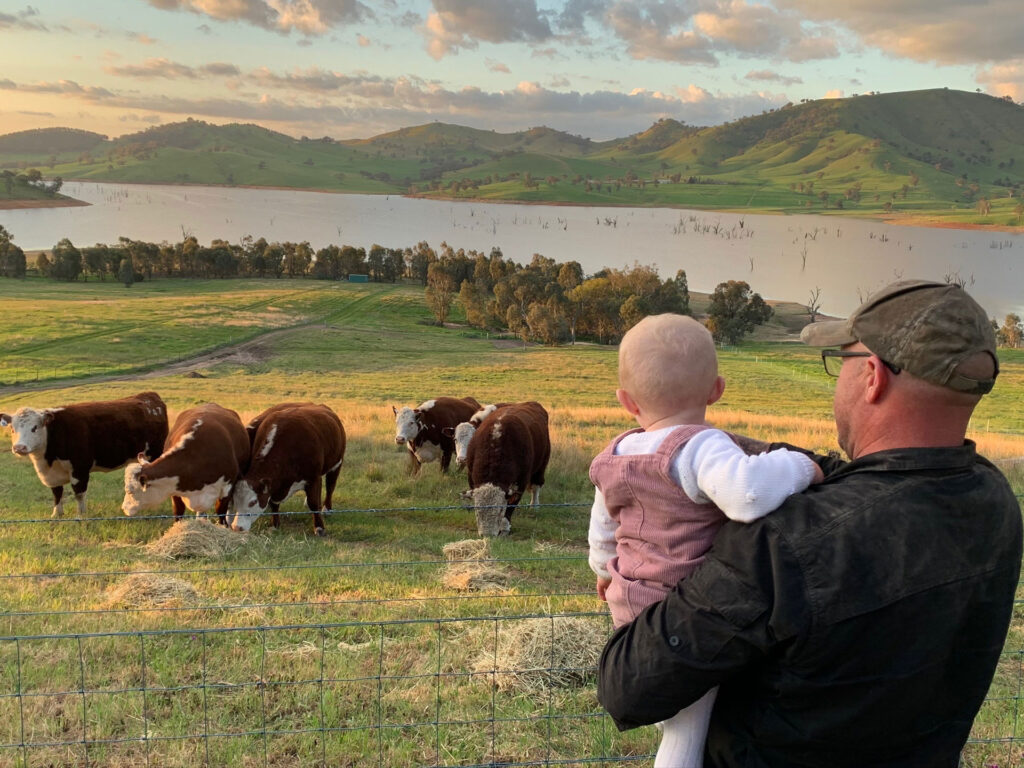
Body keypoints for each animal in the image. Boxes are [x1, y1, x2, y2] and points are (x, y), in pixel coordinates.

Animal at [0, 393, 165, 520]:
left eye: (34, 428)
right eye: (12, 429)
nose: (19, 447)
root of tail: (149, 396)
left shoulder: (79, 469)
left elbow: (79, 493)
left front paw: (81, 515)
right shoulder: (52, 475)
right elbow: (57, 493)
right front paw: (56, 514)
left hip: (154, 454)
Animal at [121, 403, 249, 524]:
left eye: (129, 491)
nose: (124, 508)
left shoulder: (228, 486)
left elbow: (221, 512)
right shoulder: (174, 489)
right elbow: (178, 512)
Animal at [230, 403, 346, 536]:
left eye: (253, 502)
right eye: (235, 500)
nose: (236, 527)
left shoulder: (313, 478)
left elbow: (314, 503)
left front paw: (319, 527)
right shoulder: (276, 485)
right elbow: (274, 504)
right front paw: (274, 525)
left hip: (337, 464)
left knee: (330, 487)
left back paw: (327, 509)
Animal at [466, 403, 552, 536]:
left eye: (500, 510)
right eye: (477, 511)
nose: (487, 535)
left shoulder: (520, 482)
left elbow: (511, 505)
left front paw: (505, 527)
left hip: (541, 466)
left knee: (536, 486)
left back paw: (534, 506)